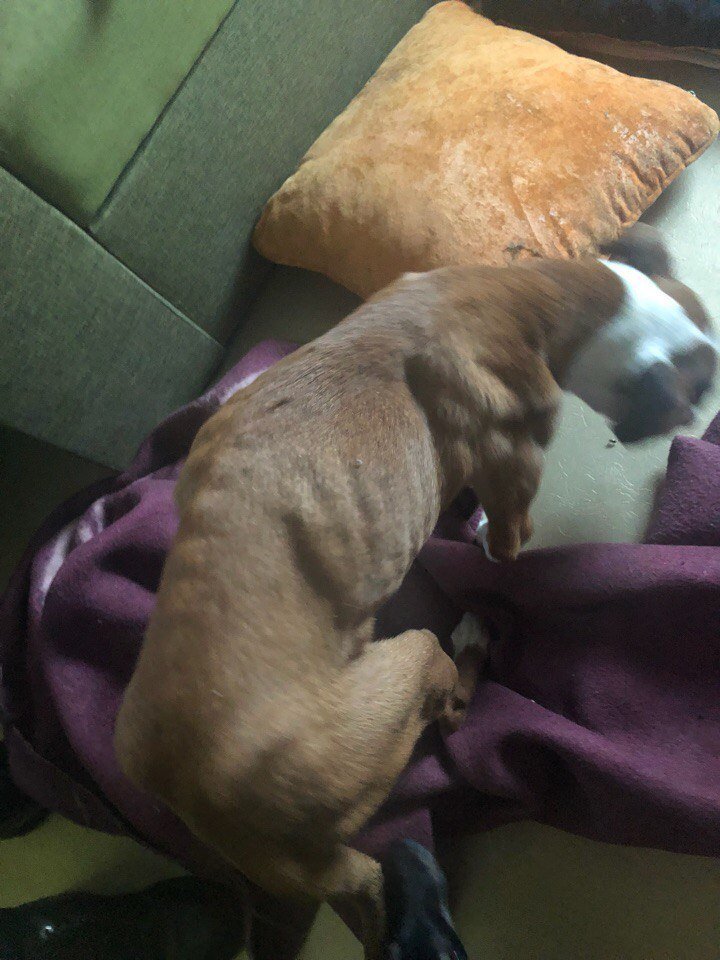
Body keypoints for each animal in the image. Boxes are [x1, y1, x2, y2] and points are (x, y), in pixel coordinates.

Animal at [114, 225, 715, 959]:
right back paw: (471, 648)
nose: (697, 414)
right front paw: (482, 536)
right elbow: (506, 538)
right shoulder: (513, 473)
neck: (546, 296)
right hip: (405, 668)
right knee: (448, 714)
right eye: (702, 382)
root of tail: (196, 793)